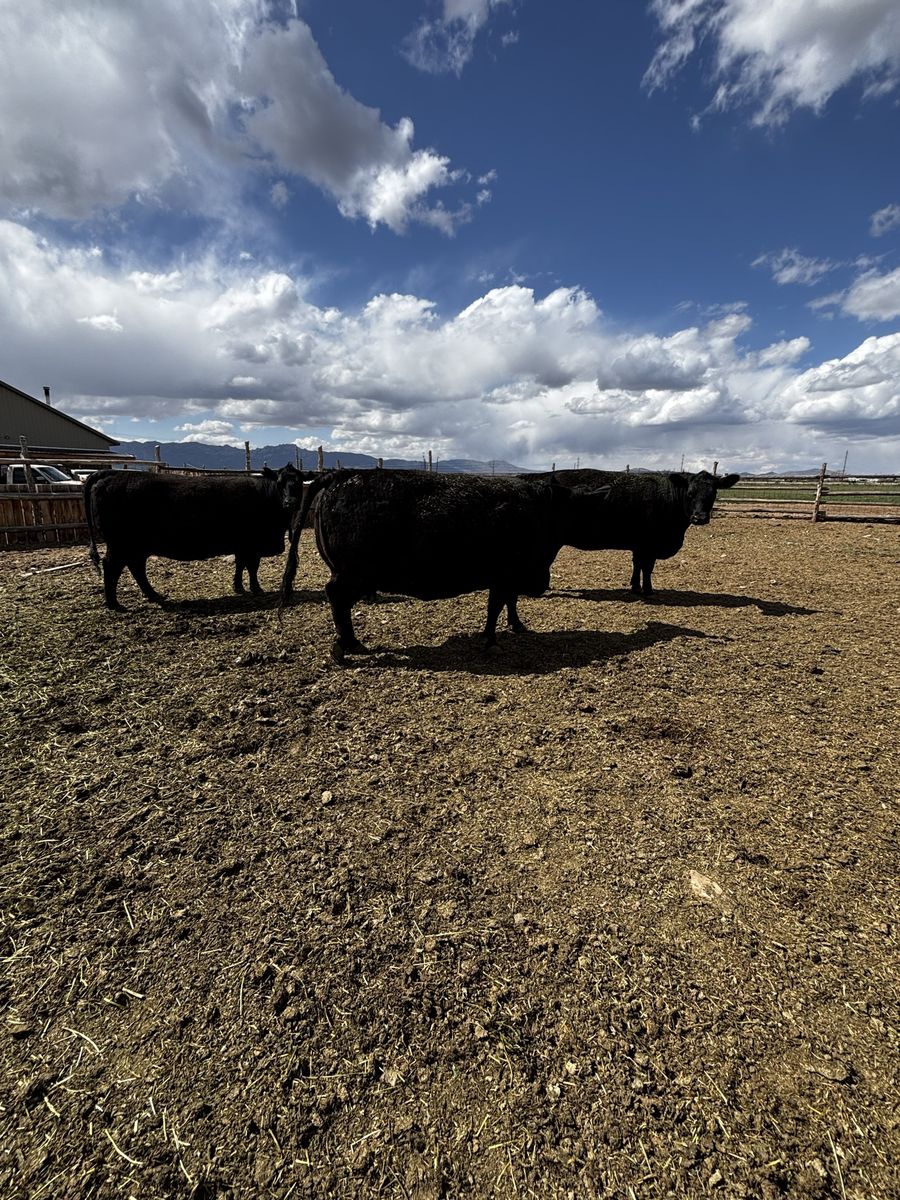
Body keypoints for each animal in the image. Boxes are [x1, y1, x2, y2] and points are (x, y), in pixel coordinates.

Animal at [85, 467, 303, 609]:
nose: (290, 502)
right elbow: (252, 567)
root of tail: (110, 473)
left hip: (136, 547)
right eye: (280, 483)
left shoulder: (241, 545)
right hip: (120, 545)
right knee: (112, 567)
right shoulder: (252, 544)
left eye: (299, 483)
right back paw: (114, 604)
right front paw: (256, 588)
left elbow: (240, 565)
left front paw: (238, 587)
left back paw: (154, 595)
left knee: (136, 568)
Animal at [275, 466, 610, 660]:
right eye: (584, 509)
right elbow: (497, 605)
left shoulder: (508, 574)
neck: (542, 509)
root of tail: (341, 475)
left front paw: (515, 627)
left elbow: (508, 603)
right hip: (354, 573)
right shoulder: (506, 572)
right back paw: (348, 644)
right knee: (336, 597)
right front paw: (491, 640)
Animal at [524, 468, 740, 596]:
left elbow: (637, 565)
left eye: (713, 493)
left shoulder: (639, 544)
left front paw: (635, 587)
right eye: (690, 493)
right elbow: (647, 567)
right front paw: (648, 591)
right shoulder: (649, 544)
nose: (699, 518)